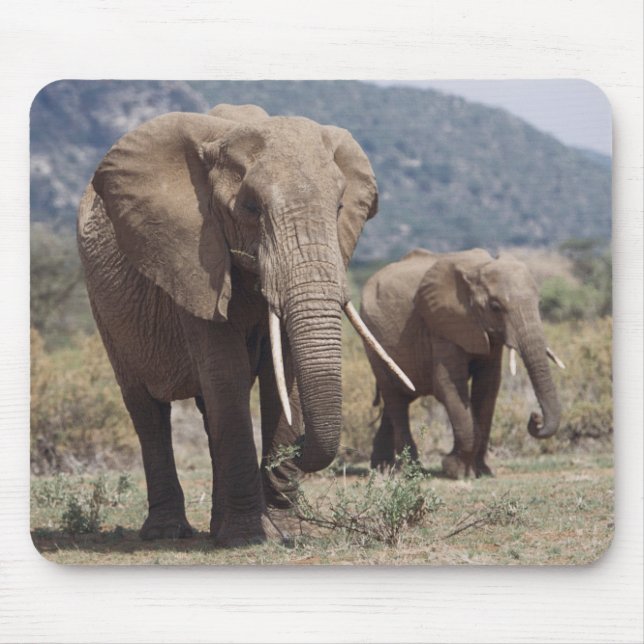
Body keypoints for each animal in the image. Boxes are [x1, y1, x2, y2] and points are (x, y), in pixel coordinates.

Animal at [77, 103, 411, 546]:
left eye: (339, 208)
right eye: (251, 209)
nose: (299, 449)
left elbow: (281, 378)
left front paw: (286, 531)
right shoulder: (192, 258)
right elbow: (227, 373)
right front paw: (247, 537)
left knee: (206, 409)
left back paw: (217, 528)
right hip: (106, 308)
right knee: (146, 408)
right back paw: (169, 533)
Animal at [360, 248, 565, 479]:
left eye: (539, 304)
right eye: (495, 307)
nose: (535, 417)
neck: (479, 268)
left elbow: (488, 386)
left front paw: (482, 471)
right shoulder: (443, 325)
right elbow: (448, 384)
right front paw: (455, 470)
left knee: (398, 398)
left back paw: (382, 468)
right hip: (373, 340)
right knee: (395, 398)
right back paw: (412, 471)